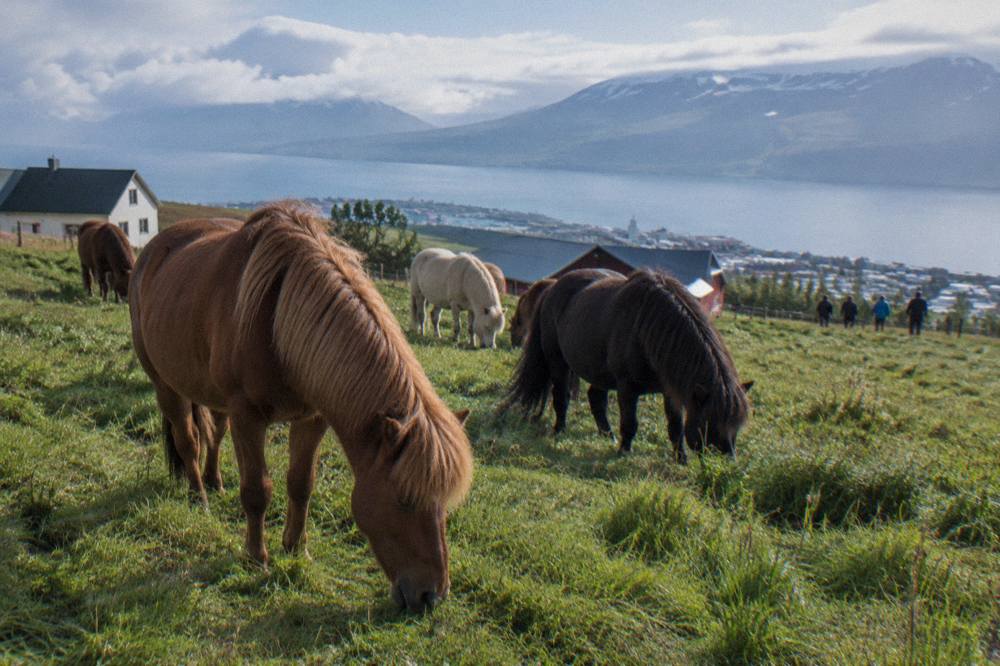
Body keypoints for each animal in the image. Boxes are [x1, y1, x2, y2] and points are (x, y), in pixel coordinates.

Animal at [129, 203, 473, 613]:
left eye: (444, 503)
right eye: (405, 500)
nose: (431, 596)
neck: (277, 320)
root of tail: (152, 250)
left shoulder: (312, 419)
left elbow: (301, 484)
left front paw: (295, 549)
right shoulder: (248, 417)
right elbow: (257, 491)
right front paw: (256, 557)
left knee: (214, 433)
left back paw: (214, 481)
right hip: (166, 386)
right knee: (188, 440)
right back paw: (199, 497)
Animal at [506, 268, 752, 460]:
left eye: (737, 427)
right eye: (709, 423)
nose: (726, 463)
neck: (647, 332)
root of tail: (553, 287)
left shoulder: (671, 391)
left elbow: (676, 426)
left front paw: (680, 459)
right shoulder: (627, 388)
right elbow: (630, 422)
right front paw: (624, 452)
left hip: (598, 371)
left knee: (596, 398)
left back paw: (607, 435)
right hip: (558, 362)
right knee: (561, 396)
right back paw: (560, 430)